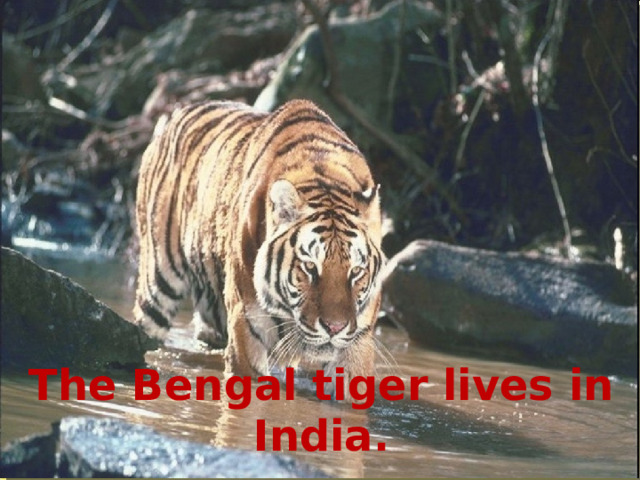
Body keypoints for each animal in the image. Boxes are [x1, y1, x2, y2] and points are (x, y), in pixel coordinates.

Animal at [133, 99, 384, 385]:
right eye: (310, 267)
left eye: (356, 271)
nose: (335, 327)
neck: (325, 177)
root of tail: (179, 111)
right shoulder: (246, 325)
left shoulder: (359, 339)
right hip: (158, 283)